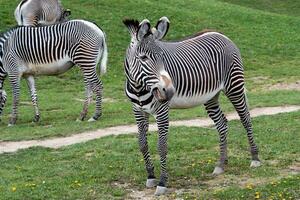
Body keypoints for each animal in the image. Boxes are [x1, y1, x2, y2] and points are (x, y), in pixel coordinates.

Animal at [123, 17, 262, 195]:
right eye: (143, 58)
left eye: (162, 57)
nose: (170, 91)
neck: (139, 88)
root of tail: (220, 34)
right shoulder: (138, 111)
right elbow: (142, 143)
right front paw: (150, 176)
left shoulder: (162, 111)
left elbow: (162, 146)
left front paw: (162, 182)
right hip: (211, 96)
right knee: (222, 124)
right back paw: (220, 164)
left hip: (234, 86)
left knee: (246, 119)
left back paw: (255, 158)